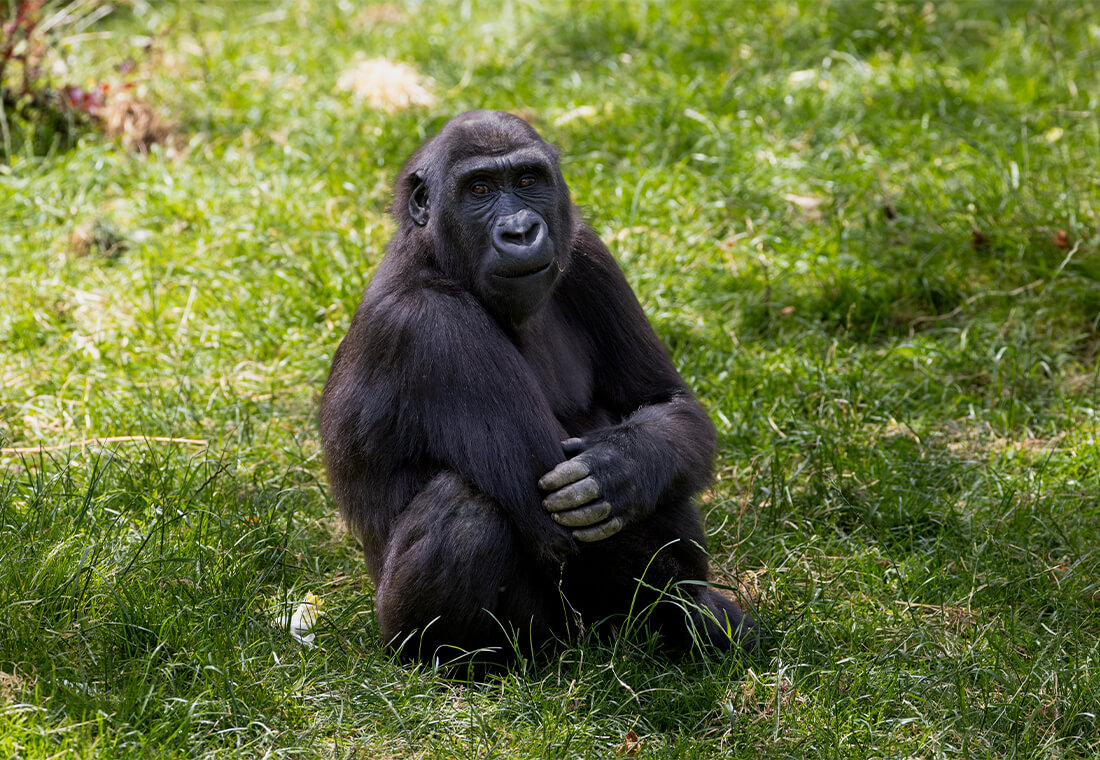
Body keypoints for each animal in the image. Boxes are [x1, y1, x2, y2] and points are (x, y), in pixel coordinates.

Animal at [314, 111, 752, 664]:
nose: (521, 231)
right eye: (479, 189)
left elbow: (667, 405)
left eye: (527, 181)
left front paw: (625, 467)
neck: (436, 257)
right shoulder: (432, 326)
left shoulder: (587, 251)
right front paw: (686, 617)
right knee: (468, 509)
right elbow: (565, 535)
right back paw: (464, 664)